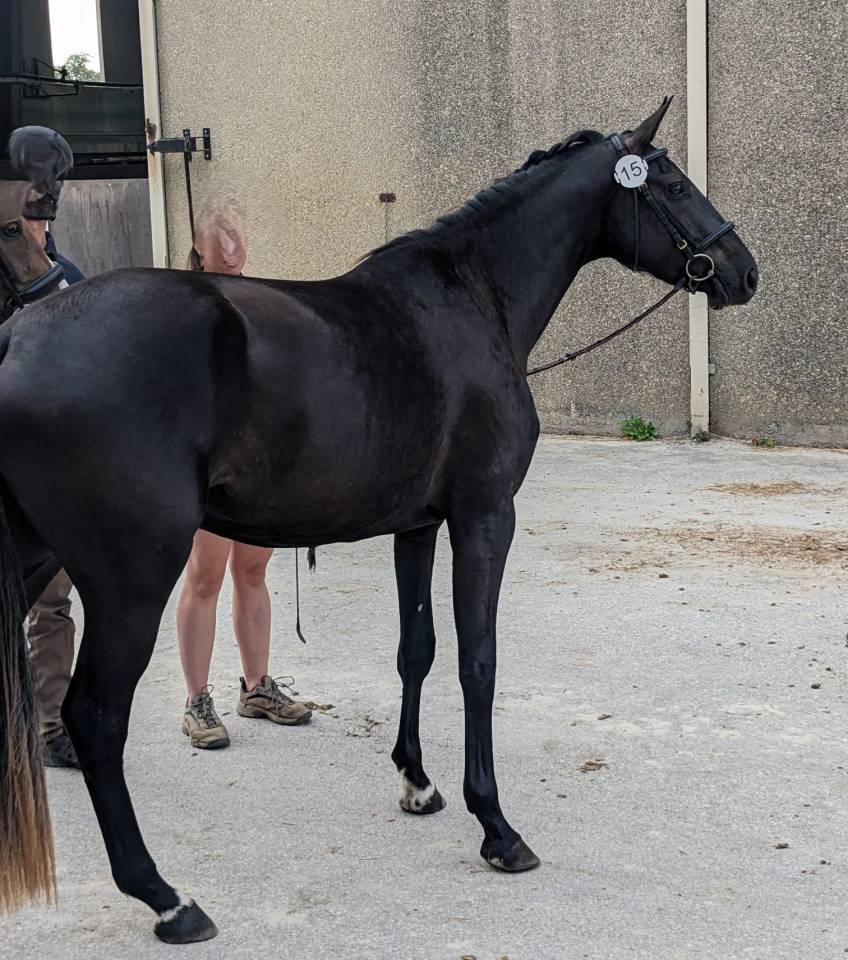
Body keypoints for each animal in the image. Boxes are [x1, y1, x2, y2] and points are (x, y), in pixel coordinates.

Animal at [0, 99, 757, 943]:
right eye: (673, 182)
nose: (743, 272)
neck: (472, 302)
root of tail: (19, 334)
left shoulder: (417, 526)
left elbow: (416, 651)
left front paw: (417, 783)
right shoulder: (484, 517)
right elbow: (477, 661)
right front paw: (497, 827)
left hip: (36, 555)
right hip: (132, 575)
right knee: (97, 717)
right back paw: (166, 897)